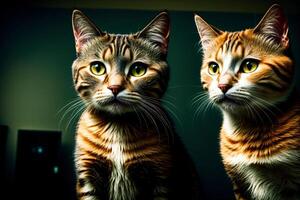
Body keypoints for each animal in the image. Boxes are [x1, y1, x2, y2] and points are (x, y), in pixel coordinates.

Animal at [71, 9, 200, 200]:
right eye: (97, 68)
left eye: (138, 70)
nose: (115, 87)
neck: (117, 127)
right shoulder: (88, 180)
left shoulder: (162, 181)